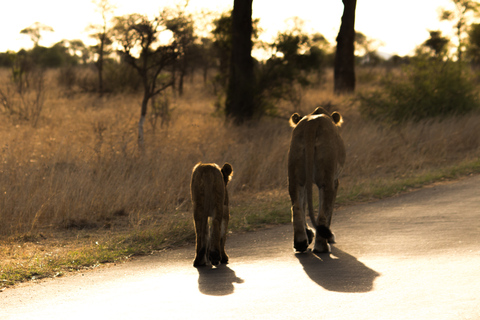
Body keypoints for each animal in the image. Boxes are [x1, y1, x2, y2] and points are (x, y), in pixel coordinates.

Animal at [288, 107, 344, 252]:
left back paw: (300, 243)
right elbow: (328, 210)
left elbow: (303, 204)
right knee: (323, 213)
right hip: (326, 178)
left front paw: (308, 234)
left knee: (296, 207)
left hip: (295, 176)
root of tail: (311, 123)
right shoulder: (335, 181)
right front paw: (329, 238)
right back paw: (321, 246)